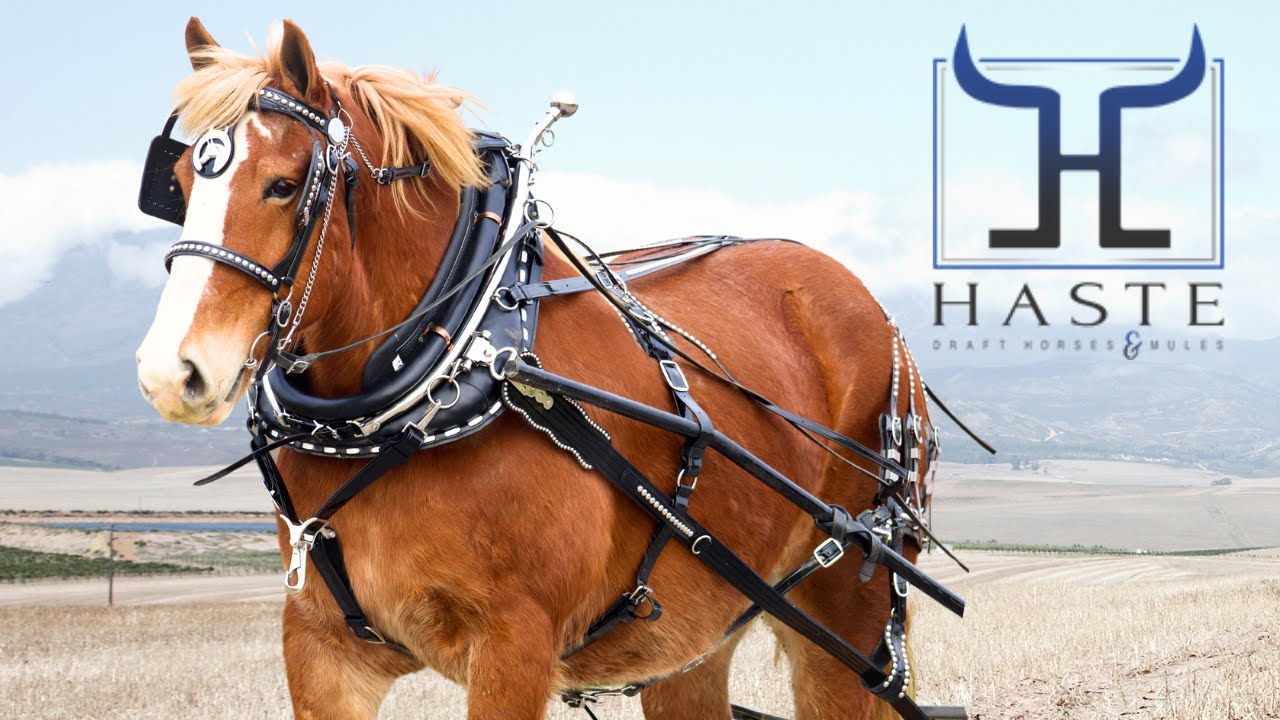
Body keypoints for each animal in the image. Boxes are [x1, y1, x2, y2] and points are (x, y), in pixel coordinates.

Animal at [135, 17, 937, 720]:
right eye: (178, 183)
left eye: (284, 183)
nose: (171, 371)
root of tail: (878, 316)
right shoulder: (322, 646)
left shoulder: (514, 646)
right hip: (695, 637)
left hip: (847, 614)